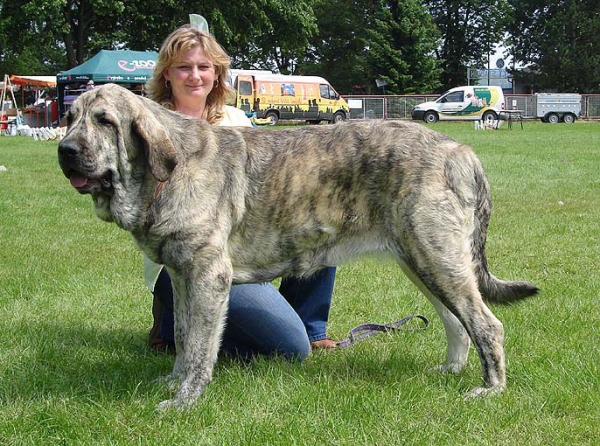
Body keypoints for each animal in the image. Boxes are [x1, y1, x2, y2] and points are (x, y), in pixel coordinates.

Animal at [58, 84, 536, 412]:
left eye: (104, 121)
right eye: (70, 117)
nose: (65, 150)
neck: (167, 174)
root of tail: (461, 150)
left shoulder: (208, 277)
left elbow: (198, 346)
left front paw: (185, 400)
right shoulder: (179, 276)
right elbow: (181, 335)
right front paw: (174, 384)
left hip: (437, 258)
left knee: (486, 325)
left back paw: (491, 388)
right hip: (422, 261)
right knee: (456, 322)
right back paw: (451, 370)